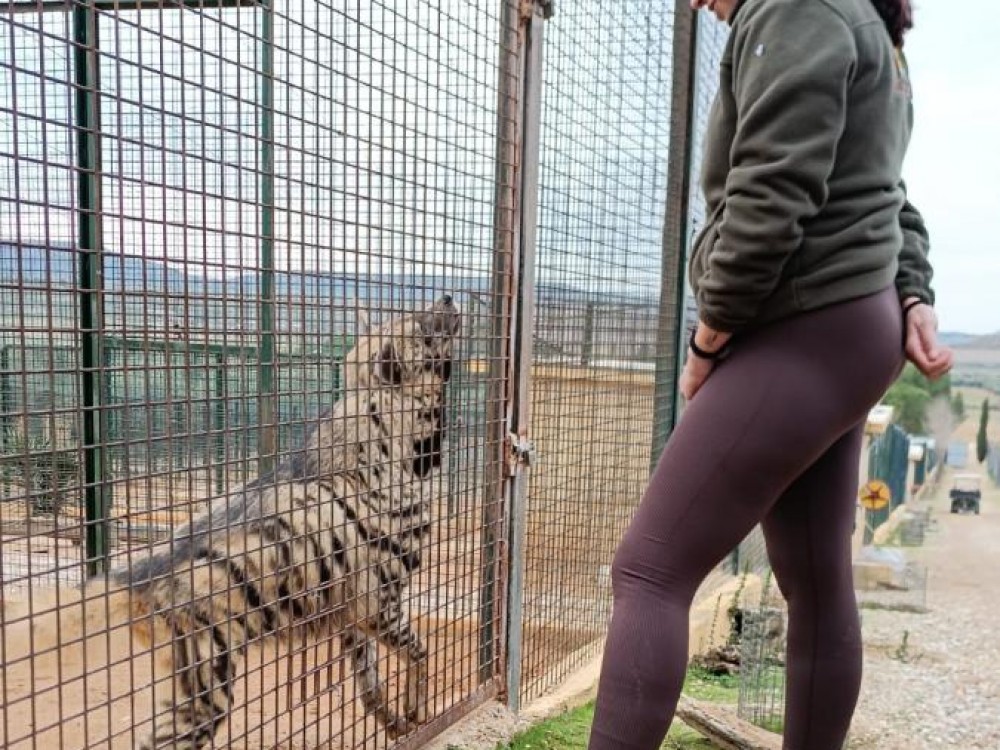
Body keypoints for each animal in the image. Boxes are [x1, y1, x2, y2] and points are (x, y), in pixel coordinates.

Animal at [0, 294, 461, 750]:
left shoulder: (353, 611)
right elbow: (419, 651)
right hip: (207, 694)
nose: (448, 298)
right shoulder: (380, 601)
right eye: (423, 329)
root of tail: (140, 578)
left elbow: (369, 680)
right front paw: (418, 709)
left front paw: (394, 722)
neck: (385, 448)